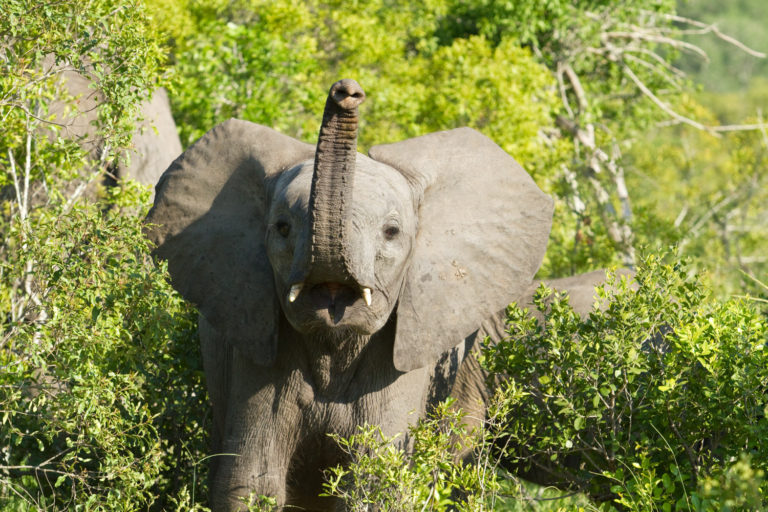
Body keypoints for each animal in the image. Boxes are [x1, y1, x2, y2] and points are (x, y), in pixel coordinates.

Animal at [146, 78, 612, 510]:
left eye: (391, 232)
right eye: (281, 228)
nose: (346, 92)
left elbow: (375, 481)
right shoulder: (254, 343)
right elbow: (251, 480)